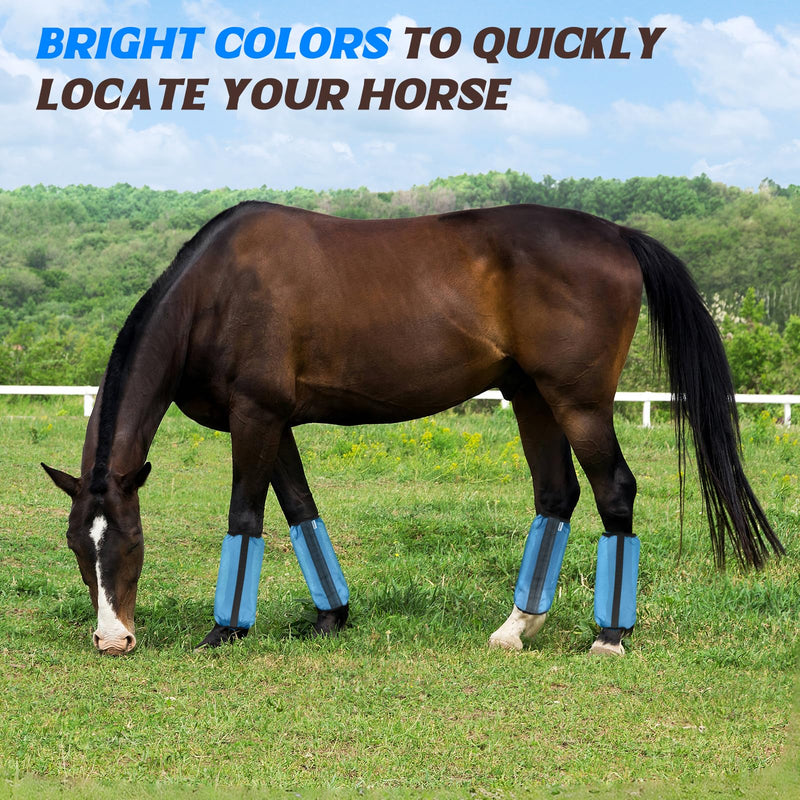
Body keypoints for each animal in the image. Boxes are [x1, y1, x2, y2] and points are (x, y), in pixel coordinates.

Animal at [42, 201, 784, 657]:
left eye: (134, 542)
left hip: (579, 403)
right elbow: (300, 509)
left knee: (615, 493)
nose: (112, 640)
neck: (218, 291)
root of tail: (618, 235)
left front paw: (225, 630)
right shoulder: (270, 421)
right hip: (531, 397)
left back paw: (609, 635)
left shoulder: (255, 417)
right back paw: (516, 628)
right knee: (557, 495)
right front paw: (331, 617)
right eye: (79, 545)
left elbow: (245, 517)